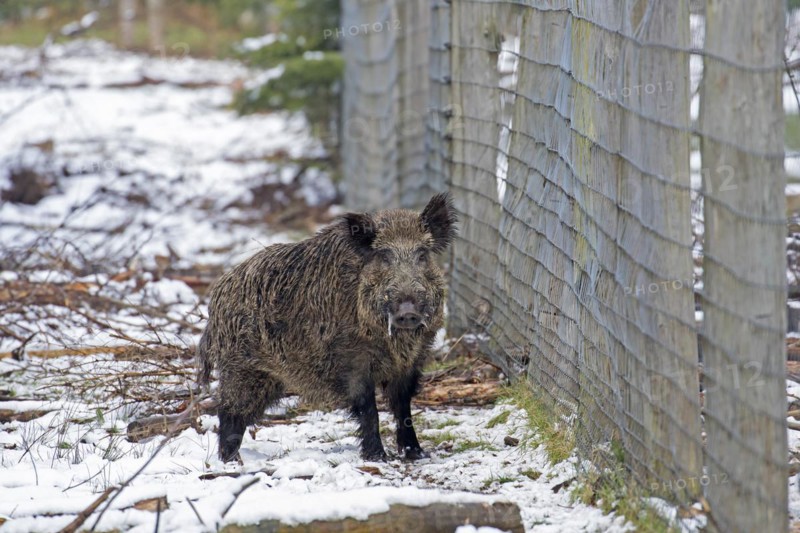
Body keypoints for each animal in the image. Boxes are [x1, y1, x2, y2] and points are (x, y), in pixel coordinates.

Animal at [197, 193, 457, 462]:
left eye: (422, 254)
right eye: (384, 256)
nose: (407, 311)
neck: (394, 343)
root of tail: (216, 300)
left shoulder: (413, 360)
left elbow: (403, 406)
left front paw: (417, 453)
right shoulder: (352, 359)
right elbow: (369, 409)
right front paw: (377, 457)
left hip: (267, 378)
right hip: (243, 368)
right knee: (228, 412)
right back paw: (230, 462)